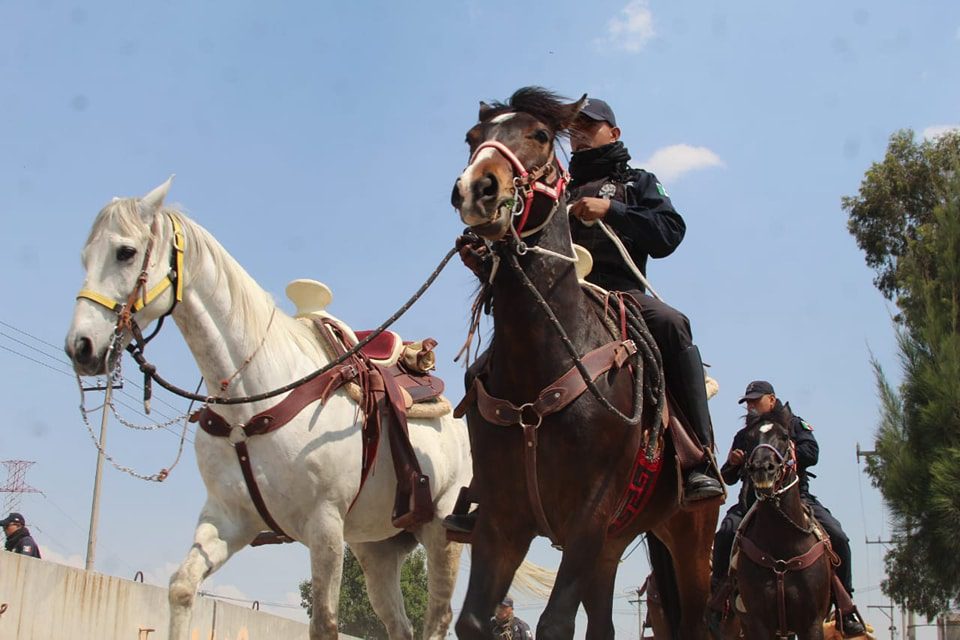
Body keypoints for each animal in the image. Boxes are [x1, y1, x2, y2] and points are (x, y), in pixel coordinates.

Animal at [63, 179, 472, 640]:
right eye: (85, 256)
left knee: (437, 619)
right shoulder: (229, 518)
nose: (81, 347)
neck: (252, 399)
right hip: (376, 547)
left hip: (440, 530)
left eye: (126, 252)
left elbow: (325, 624)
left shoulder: (325, 525)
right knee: (399, 624)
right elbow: (182, 587)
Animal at [450, 86, 720, 640]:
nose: (478, 189)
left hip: (689, 538)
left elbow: (554, 624)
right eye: (472, 137)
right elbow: (473, 620)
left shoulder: (588, 516)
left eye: (539, 134)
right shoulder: (503, 520)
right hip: (612, 546)